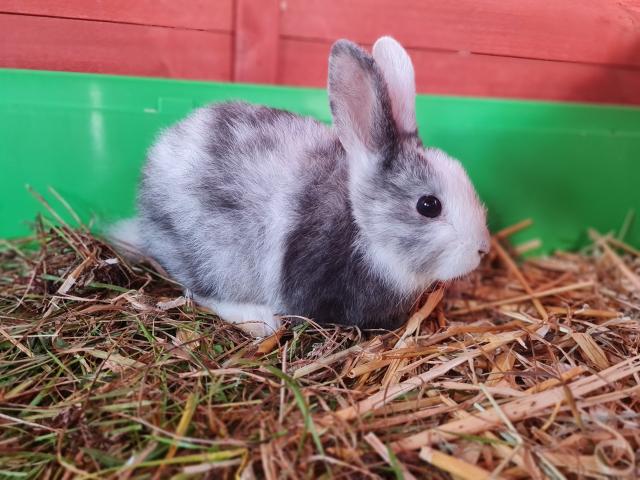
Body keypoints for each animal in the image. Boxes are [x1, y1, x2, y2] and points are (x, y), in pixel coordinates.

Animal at [110, 36, 490, 337]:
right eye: (428, 205)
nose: (482, 250)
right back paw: (260, 321)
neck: (367, 231)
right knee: (199, 291)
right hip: (214, 258)